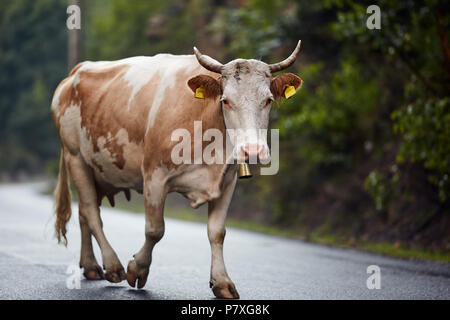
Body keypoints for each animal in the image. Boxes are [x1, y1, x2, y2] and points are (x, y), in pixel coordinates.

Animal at [51, 41, 302, 298]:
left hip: (97, 170)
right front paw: (137, 269)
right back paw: (112, 266)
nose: (252, 150)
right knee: (90, 211)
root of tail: (75, 73)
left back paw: (91, 266)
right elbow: (155, 230)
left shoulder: (227, 181)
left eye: (268, 100)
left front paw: (222, 282)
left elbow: (217, 232)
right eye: (225, 100)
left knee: (84, 211)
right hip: (75, 157)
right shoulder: (154, 175)